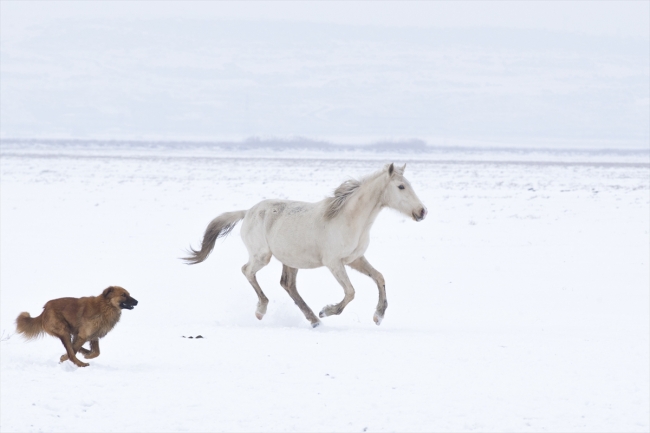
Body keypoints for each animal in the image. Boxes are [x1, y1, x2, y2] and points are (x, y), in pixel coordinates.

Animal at [184, 164, 426, 326]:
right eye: (401, 186)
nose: (422, 211)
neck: (349, 219)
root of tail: (248, 212)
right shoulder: (334, 262)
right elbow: (350, 292)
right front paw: (327, 311)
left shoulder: (355, 259)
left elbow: (379, 278)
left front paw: (378, 315)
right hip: (262, 256)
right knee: (247, 271)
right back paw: (263, 309)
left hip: (290, 259)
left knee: (287, 284)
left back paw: (312, 320)